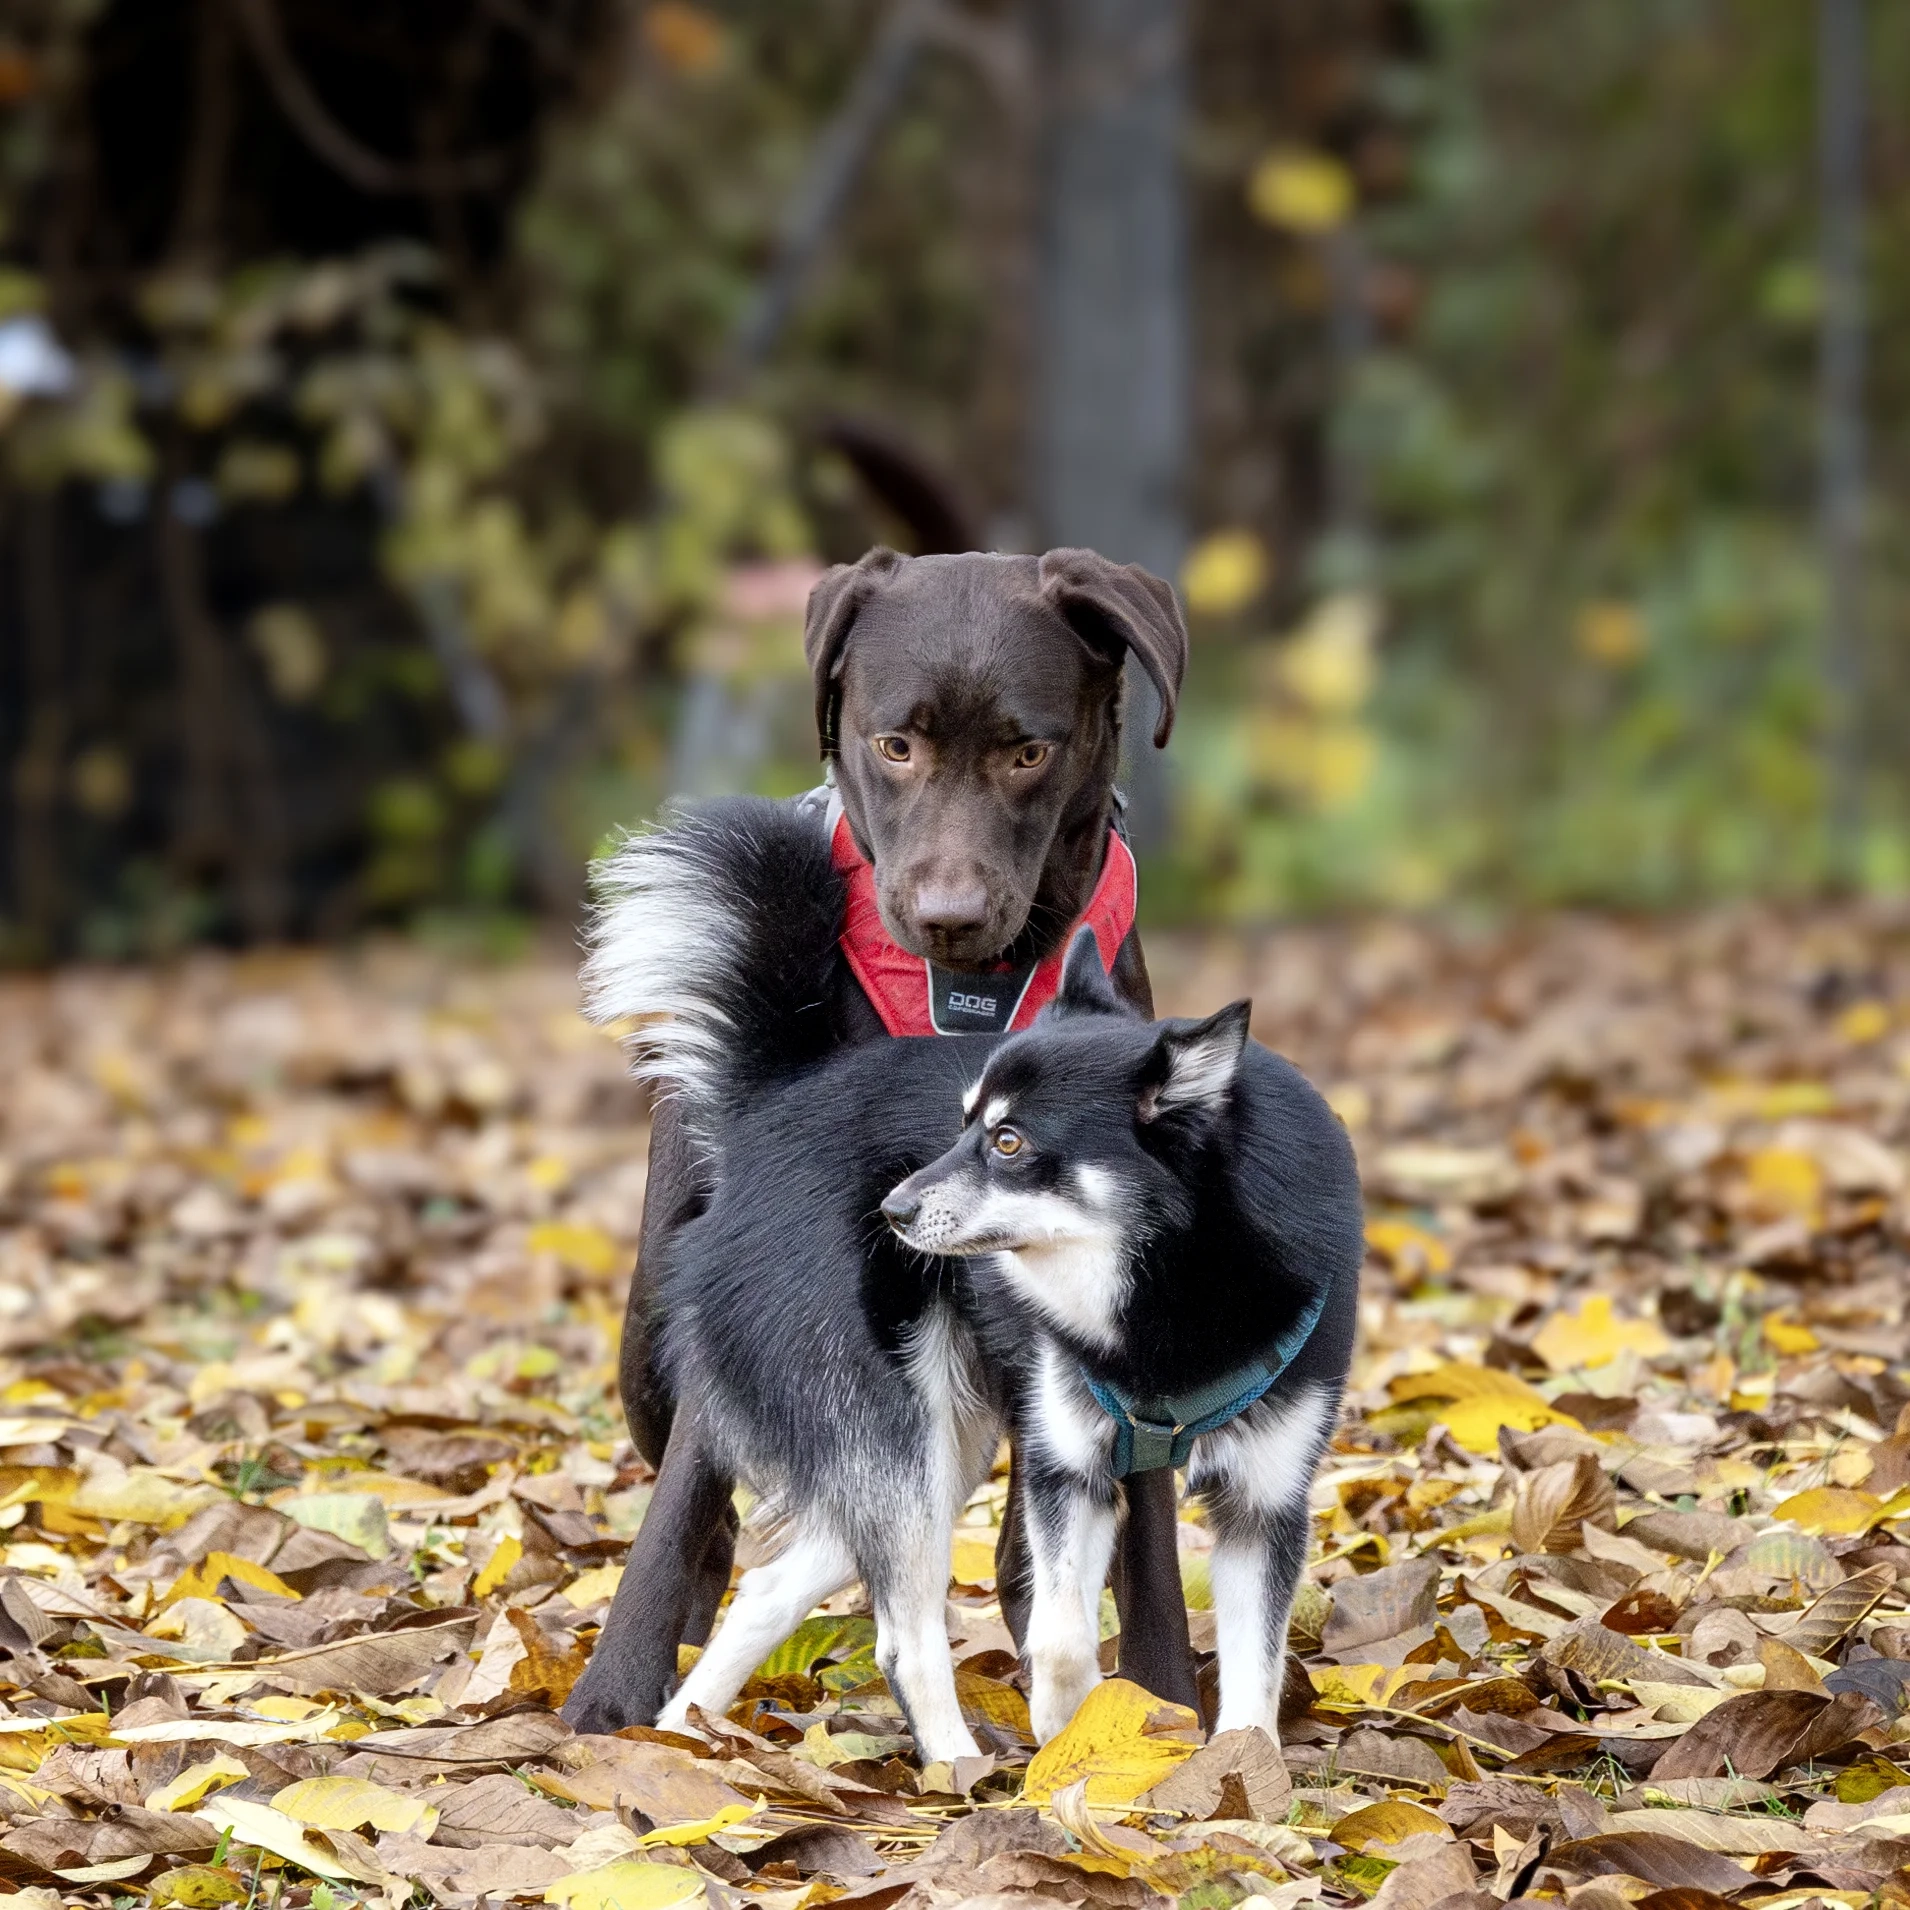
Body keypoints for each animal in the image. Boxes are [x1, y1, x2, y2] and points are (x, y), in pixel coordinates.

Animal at [565, 546, 1191, 1741]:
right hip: (657, 1325)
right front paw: (614, 1692)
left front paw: (1162, 1696)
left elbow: (1141, 1517)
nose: (946, 914)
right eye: (893, 744)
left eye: (1029, 750)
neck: (969, 998)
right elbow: (684, 1500)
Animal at [580, 794, 1359, 1757]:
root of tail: (771, 1106)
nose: (891, 1210)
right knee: (902, 1635)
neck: (1169, 1292)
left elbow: (1254, 1674)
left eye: (1009, 1141)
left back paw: (685, 1730)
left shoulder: (1263, 1501)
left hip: (940, 1444)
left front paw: (1242, 1775)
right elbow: (1060, 1631)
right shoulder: (1065, 1465)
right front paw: (1068, 1728)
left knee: (775, 1586)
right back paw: (954, 1763)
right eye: (963, 1124)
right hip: (893, 1437)